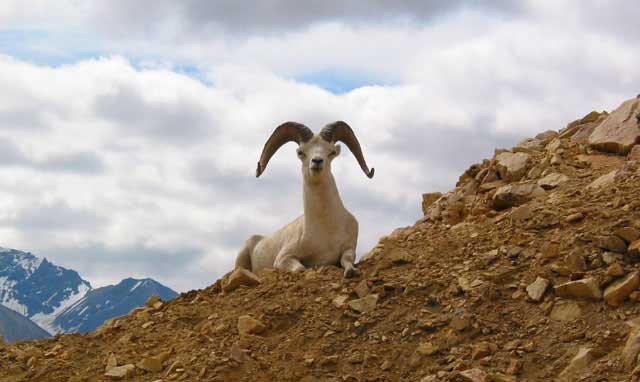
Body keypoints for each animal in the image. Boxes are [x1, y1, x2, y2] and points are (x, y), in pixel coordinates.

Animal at [235, 121, 376, 278]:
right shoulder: (283, 258)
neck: (326, 228)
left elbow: (347, 259)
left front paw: (351, 271)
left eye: (331, 152)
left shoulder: (349, 248)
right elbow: (300, 268)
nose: (317, 161)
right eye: (301, 152)